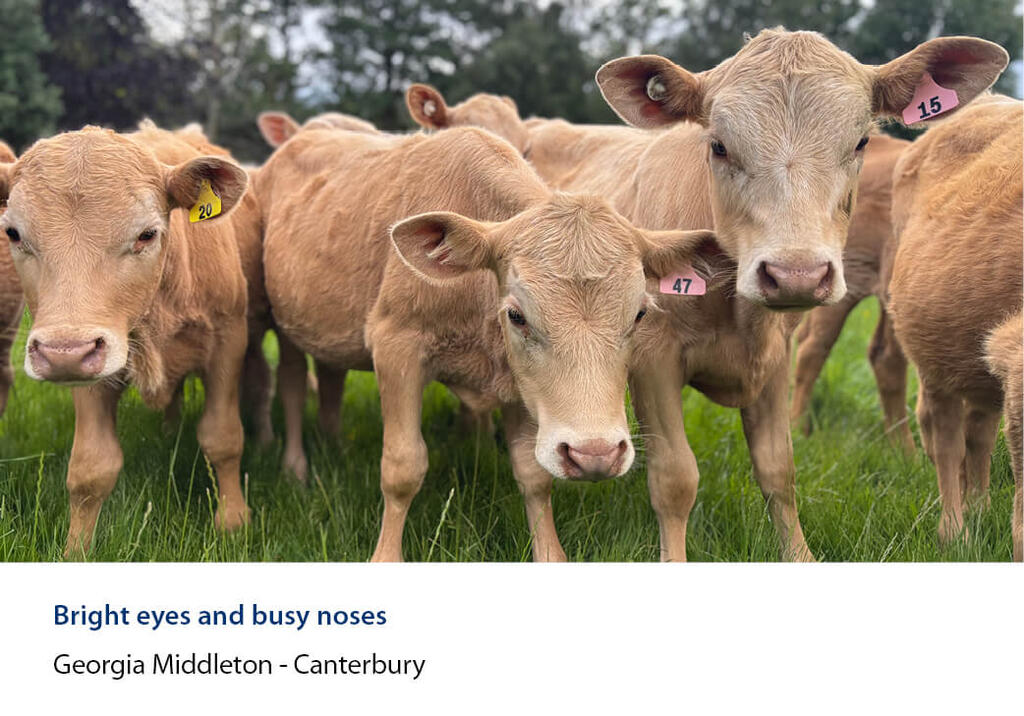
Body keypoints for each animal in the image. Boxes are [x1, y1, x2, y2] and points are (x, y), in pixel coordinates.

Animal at [0, 126, 252, 557]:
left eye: (146, 234)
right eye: (13, 233)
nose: (62, 354)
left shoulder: (229, 342)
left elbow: (223, 437)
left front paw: (233, 521)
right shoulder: (87, 369)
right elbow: (91, 467)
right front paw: (77, 550)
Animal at [252, 124, 719, 561]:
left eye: (639, 314)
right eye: (517, 315)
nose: (595, 454)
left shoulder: (522, 385)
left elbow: (533, 474)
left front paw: (550, 554)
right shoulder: (396, 343)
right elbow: (402, 467)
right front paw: (385, 557)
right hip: (285, 324)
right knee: (291, 382)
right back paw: (295, 466)